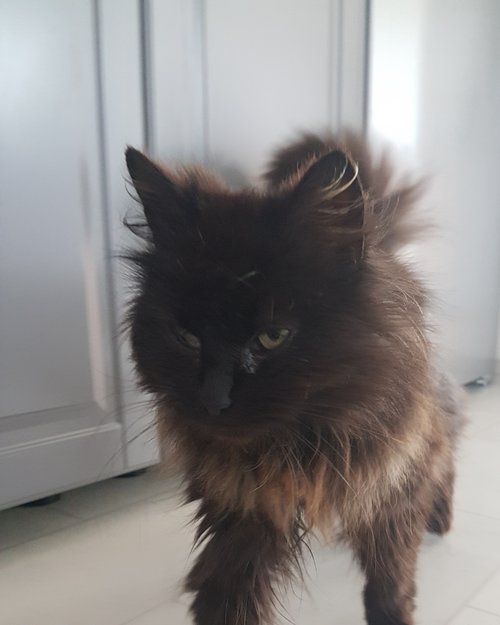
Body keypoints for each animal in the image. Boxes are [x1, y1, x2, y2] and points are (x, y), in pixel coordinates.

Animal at [124, 132, 464, 625]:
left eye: (273, 336)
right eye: (185, 337)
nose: (213, 399)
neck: (301, 447)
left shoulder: (391, 483)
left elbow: (390, 579)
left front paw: (392, 611)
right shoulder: (243, 508)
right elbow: (227, 593)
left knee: (447, 453)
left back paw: (440, 515)